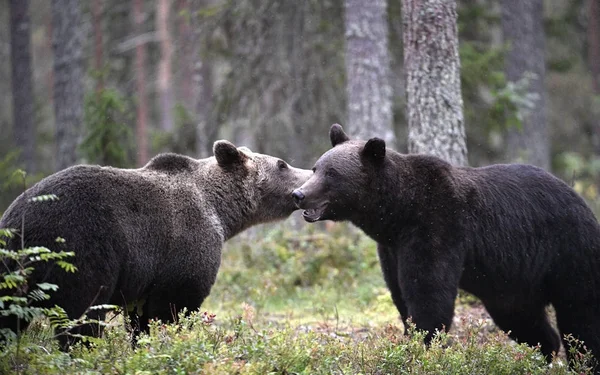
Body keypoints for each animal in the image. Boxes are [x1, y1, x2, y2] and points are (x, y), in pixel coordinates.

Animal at [2, 140, 312, 344]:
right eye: (282, 164)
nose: (310, 174)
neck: (220, 212)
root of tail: (19, 223)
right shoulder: (183, 248)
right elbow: (172, 308)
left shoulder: (143, 280)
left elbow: (139, 319)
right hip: (80, 250)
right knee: (81, 316)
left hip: (13, 271)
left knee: (10, 317)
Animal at [292, 125, 600, 372]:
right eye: (316, 167)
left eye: (332, 173)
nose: (299, 194)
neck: (399, 212)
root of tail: (580, 199)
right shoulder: (391, 249)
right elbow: (400, 294)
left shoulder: (437, 225)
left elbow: (429, 294)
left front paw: (422, 349)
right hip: (514, 281)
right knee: (523, 319)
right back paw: (540, 355)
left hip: (568, 251)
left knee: (581, 315)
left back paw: (583, 362)